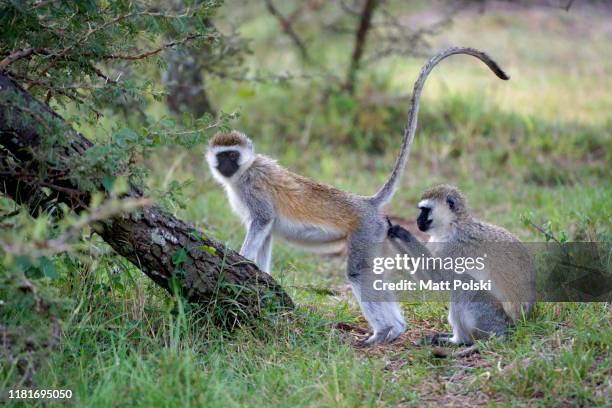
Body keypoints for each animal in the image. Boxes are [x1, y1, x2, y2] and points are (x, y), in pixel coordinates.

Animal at [208, 47, 510, 344]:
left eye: (232, 155)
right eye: (222, 156)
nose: (225, 166)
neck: (244, 170)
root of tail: (367, 203)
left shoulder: (253, 188)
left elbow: (262, 221)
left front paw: (237, 260)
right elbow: (267, 235)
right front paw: (260, 274)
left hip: (365, 230)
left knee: (358, 271)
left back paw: (385, 330)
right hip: (378, 234)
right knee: (372, 272)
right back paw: (397, 329)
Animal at [390, 185, 532, 348]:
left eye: (425, 210)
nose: (417, 220)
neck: (453, 226)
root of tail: (515, 325)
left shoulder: (452, 247)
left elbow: (439, 279)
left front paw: (403, 233)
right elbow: (428, 280)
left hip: (491, 317)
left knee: (463, 284)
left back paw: (459, 340)